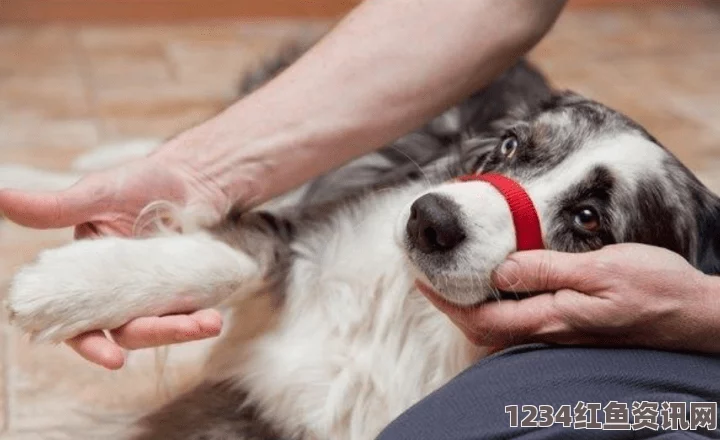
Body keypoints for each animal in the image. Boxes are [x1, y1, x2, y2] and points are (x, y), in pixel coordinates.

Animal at [1, 45, 720, 440]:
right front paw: (63, 287)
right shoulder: (297, 237)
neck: (411, 318)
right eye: (513, 147)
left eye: (591, 219)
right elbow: (226, 253)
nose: (429, 218)